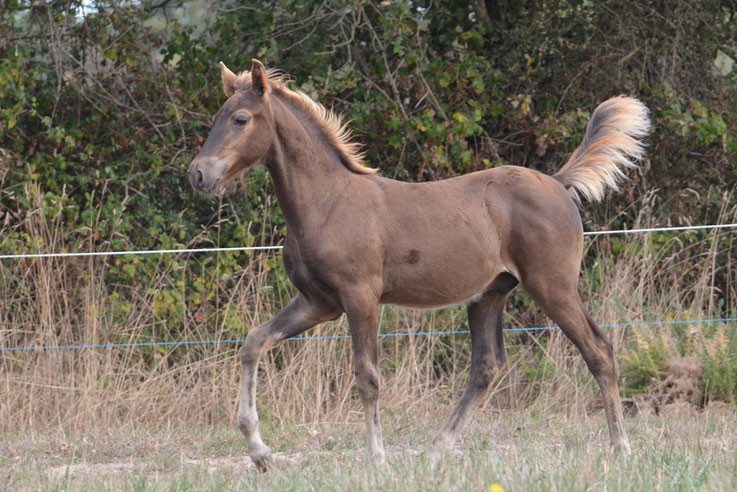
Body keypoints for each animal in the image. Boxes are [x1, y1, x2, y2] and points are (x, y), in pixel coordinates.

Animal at [187, 58, 648, 468]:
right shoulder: (318, 302)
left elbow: (367, 377)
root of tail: (556, 182)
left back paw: (622, 449)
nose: (199, 174)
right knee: (487, 366)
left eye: (240, 119)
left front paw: (377, 459)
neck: (326, 202)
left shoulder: (359, 297)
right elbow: (253, 342)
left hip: (553, 286)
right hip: (490, 293)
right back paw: (437, 450)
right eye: (218, 116)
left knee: (599, 351)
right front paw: (259, 452)